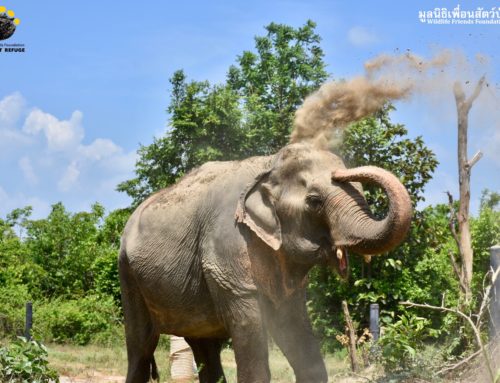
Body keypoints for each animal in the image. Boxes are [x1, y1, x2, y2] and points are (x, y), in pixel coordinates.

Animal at [119, 142, 412, 383]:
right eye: (314, 201)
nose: (343, 172)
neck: (268, 166)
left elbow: (295, 329)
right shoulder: (228, 245)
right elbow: (250, 329)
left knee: (205, 348)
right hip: (128, 275)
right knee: (141, 347)